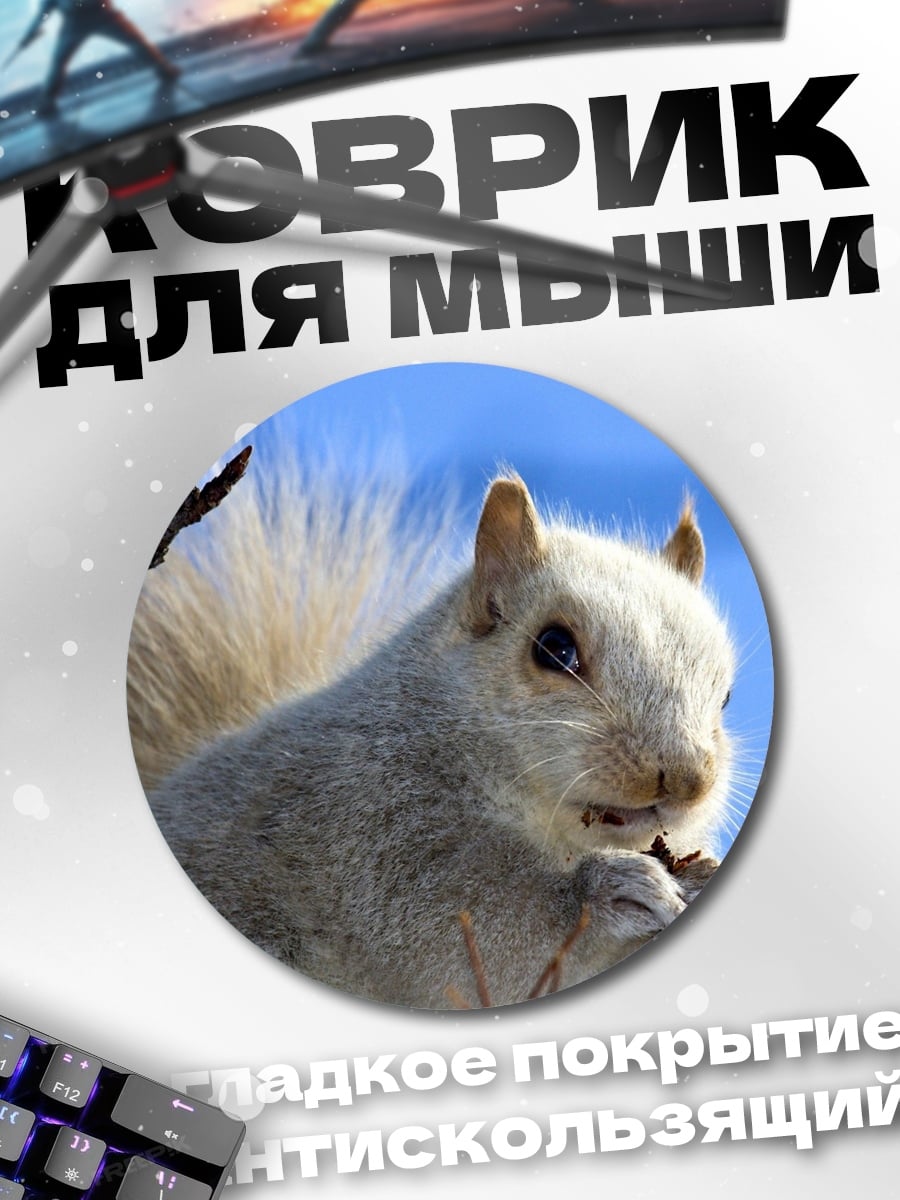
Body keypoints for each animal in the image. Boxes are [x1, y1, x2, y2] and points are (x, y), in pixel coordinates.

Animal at [127, 460, 736, 1009]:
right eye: (554, 648)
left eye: (726, 695)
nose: (686, 779)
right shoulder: (362, 825)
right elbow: (466, 926)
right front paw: (614, 894)